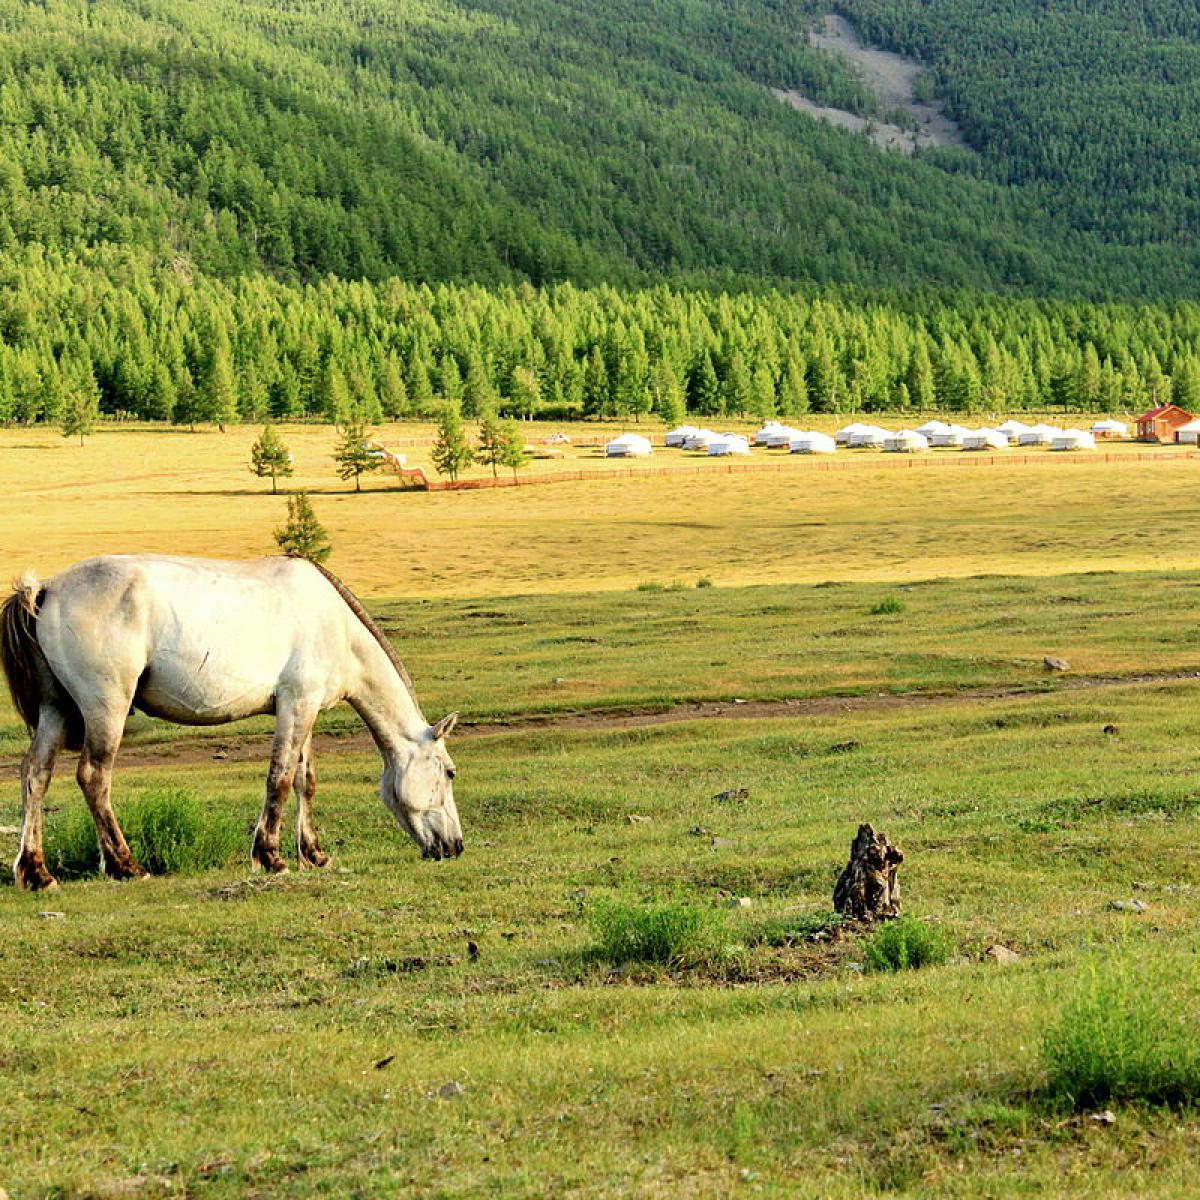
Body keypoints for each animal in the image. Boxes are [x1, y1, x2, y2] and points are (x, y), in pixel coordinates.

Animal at [1, 554, 463, 892]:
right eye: (450, 772)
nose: (455, 846)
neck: (336, 625)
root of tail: (45, 590)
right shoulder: (296, 706)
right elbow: (279, 778)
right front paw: (271, 856)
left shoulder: (306, 709)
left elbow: (304, 781)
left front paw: (313, 854)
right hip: (106, 710)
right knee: (94, 777)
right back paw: (125, 865)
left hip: (56, 711)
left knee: (36, 775)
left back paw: (37, 872)